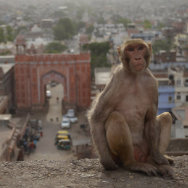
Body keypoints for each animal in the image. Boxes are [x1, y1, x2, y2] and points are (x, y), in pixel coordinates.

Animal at [87, 39, 174, 177]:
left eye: (140, 48)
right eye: (131, 50)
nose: (137, 57)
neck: (135, 76)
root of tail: (140, 157)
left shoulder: (151, 82)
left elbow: (150, 119)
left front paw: (159, 158)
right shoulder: (117, 79)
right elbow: (97, 117)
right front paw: (106, 162)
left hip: (146, 148)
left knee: (166, 117)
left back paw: (156, 162)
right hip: (121, 154)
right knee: (115, 117)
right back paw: (132, 164)